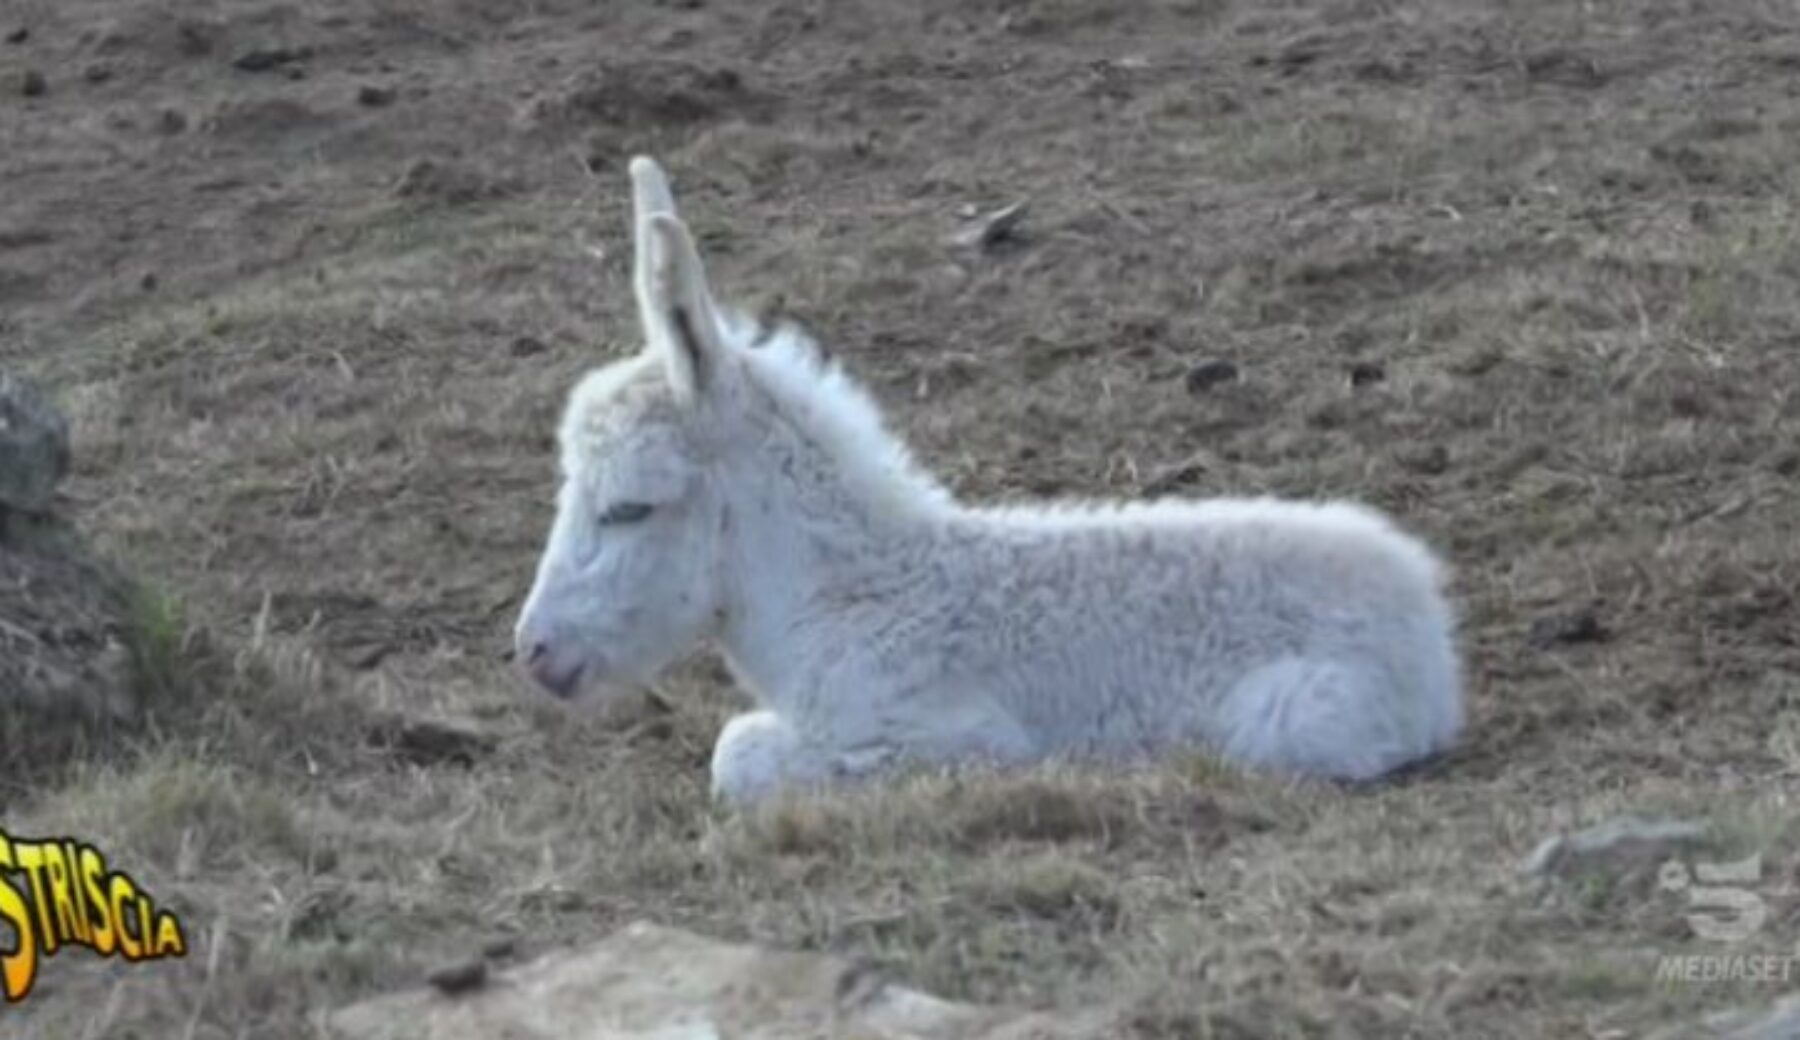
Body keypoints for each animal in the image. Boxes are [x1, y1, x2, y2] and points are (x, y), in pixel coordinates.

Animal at [511, 155, 1461, 802]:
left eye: (629, 508)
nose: (533, 652)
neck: (844, 601)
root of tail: (1426, 616)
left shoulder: (949, 736)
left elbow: (735, 756)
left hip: (1298, 718)